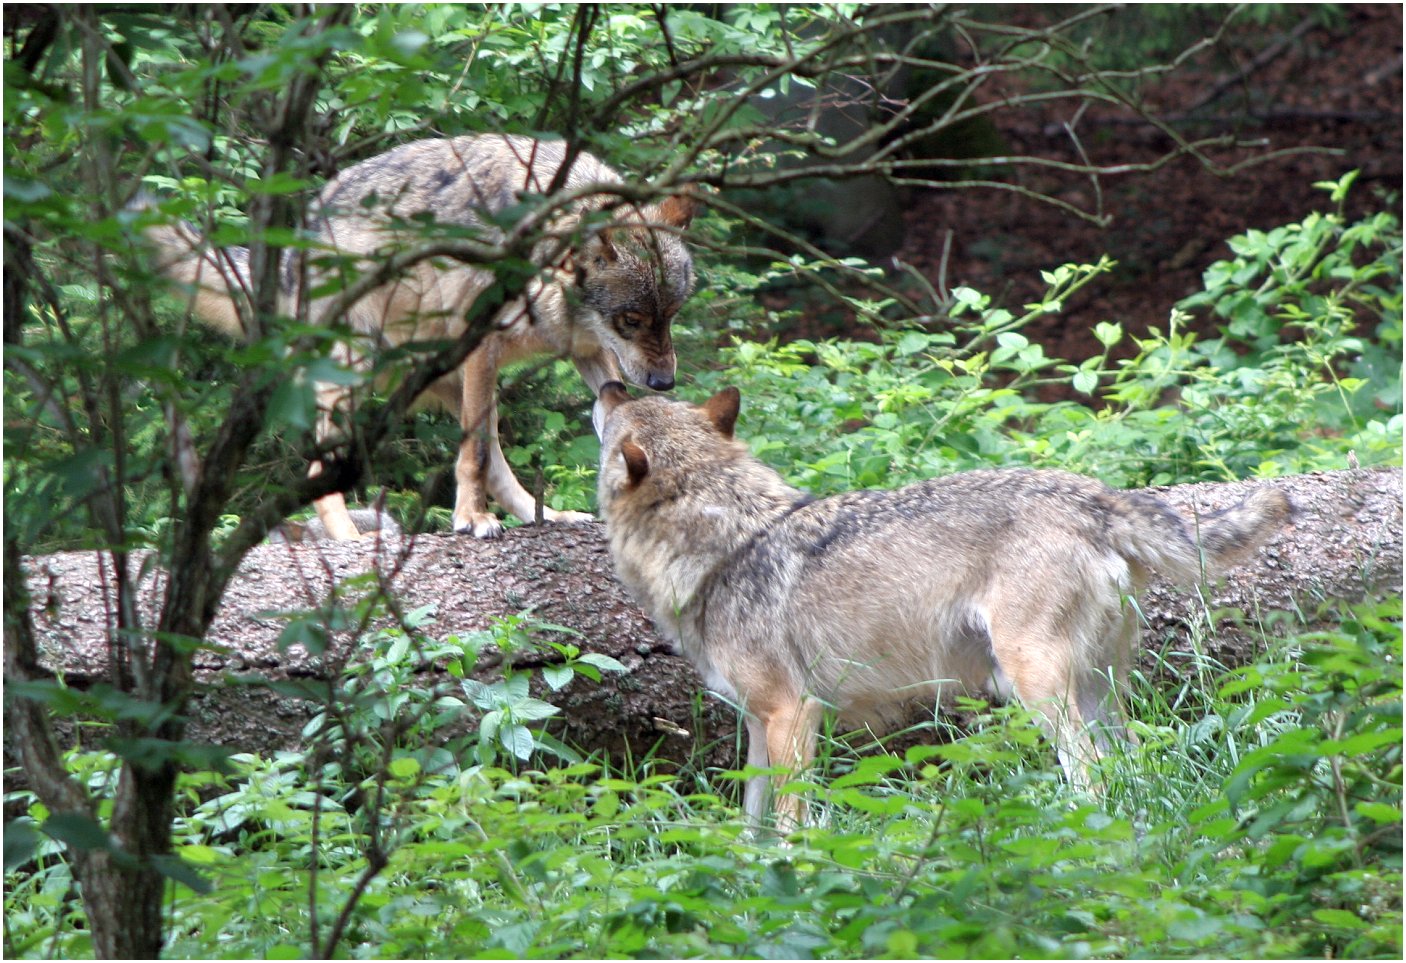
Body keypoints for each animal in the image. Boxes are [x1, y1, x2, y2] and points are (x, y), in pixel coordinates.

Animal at [139, 133, 694, 539]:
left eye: (670, 314)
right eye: (632, 319)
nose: (665, 383)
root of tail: (299, 237)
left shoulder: (590, 350)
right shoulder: (482, 342)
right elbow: (473, 457)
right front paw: (470, 519)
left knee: (495, 457)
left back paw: (546, 516)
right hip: (355, 375)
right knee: (321, 473)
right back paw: (350, 539)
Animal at [593, 382, 1293, 826]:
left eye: (616, 418)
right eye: (638, 402)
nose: (608, 381)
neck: (725, 540)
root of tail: (1093, 494)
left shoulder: (793, 715)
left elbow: (791, 827)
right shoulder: (758, 728)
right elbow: (750, 823)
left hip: (1036, 686)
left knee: (1093, 777)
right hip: (1100, 692)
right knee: (1132, 771)